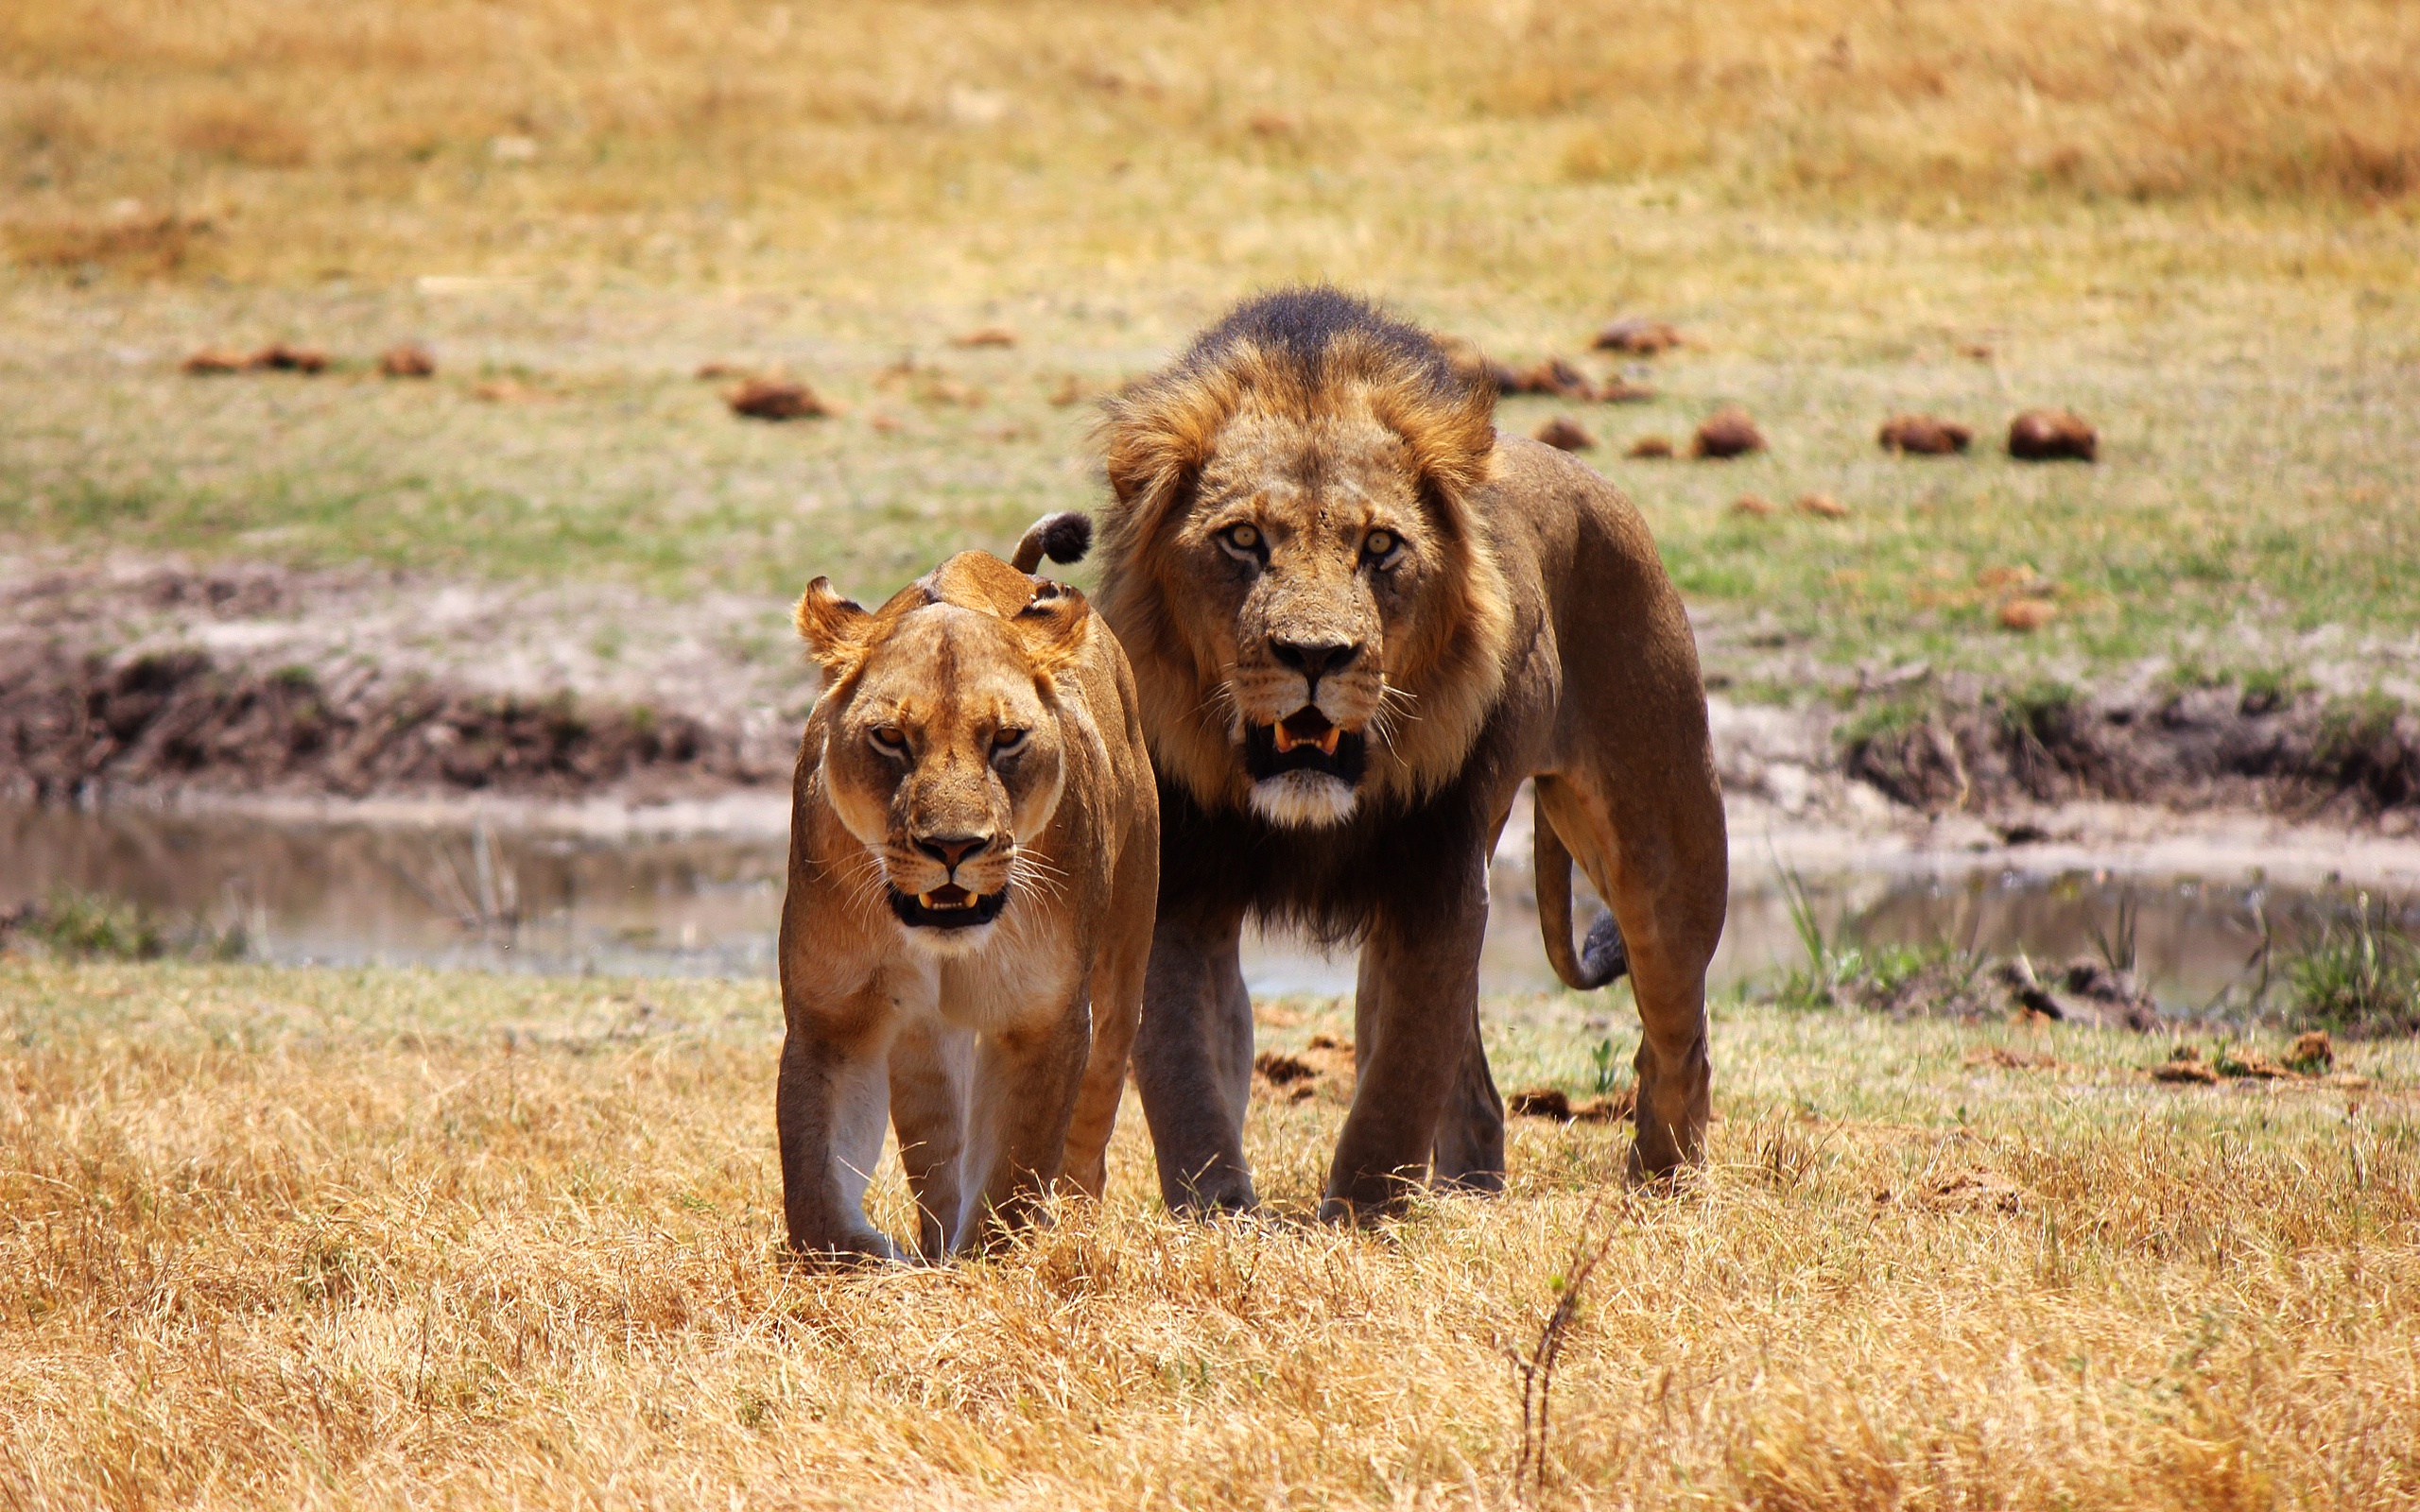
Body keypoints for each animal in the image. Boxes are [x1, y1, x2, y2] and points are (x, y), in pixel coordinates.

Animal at [774, 512, 1151, 1258]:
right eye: (890, 738)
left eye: (1006, 738)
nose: (953, 846)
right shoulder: (832, 1018)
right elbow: (816, 1197)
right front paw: (886, 1260)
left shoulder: (1044, 1017)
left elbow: (1013, 1173)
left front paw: (987, 1262)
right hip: (926, 1037)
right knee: (938, 1147)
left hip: (1121, 976)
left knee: (1089, 1134)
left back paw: (1075, 1229)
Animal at [1089, 288, 1732, 1219]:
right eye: (1243, 540)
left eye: (1381, 546)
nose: (1314, 655)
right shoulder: (1186, 889)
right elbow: (1187, 1075)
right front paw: (1219, 1215)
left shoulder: (1437, 880)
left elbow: (1398, 1083)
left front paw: (1358, 1219)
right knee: (1481, 1095)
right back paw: (1472, 1198)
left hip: (1668, 853)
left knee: (1676, 1041)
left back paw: (1662, 1190)